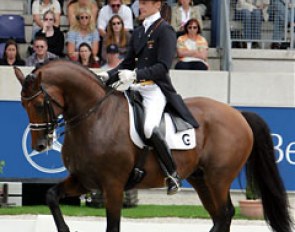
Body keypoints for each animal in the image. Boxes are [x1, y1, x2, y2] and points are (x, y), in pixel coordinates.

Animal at [13, 60, 294, 232]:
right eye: (23, 105)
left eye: (39, 104)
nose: (40, 145)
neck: (94, 118)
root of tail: (238, 114)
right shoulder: (84, 180)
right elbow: (51, 196)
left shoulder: (113, 186)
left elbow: (112, 226)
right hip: (201, 179)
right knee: (220, 216)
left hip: (218, 178)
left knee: (225, 214)